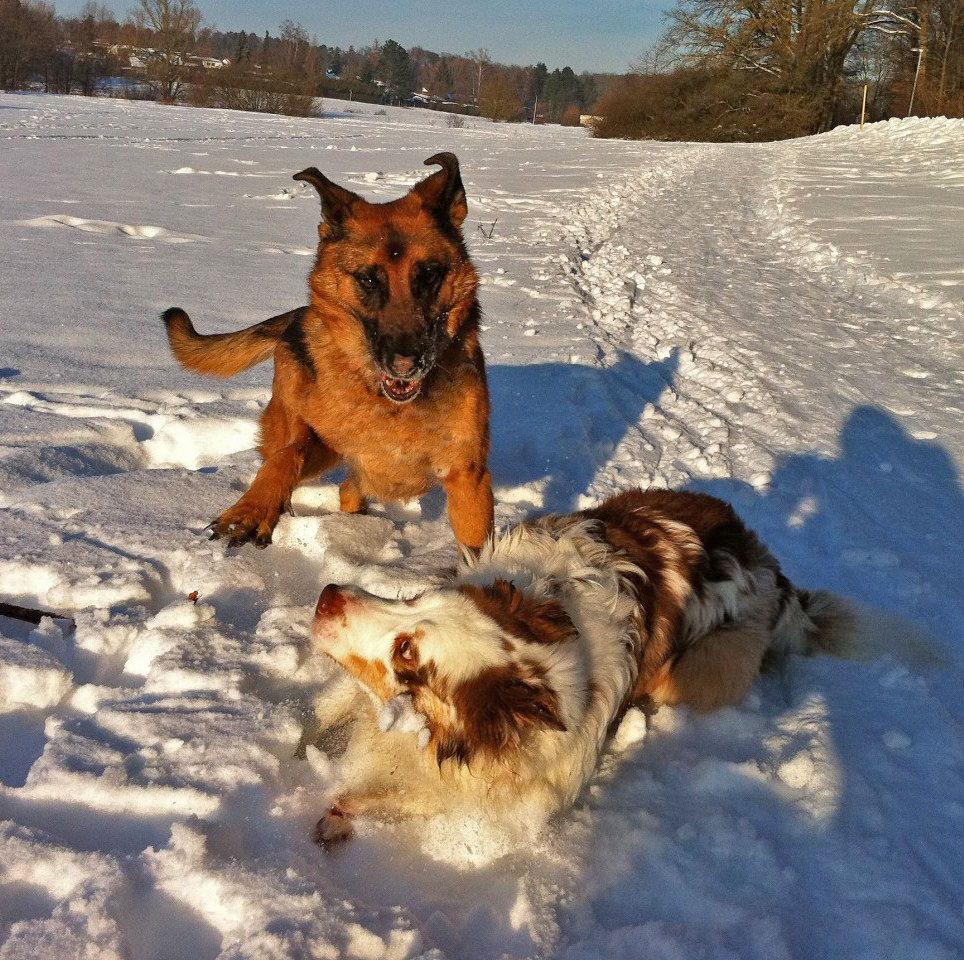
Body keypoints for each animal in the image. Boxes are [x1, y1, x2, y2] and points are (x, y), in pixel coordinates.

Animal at [163, 155, 494, 552]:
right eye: (368, 279)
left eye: (428, 275)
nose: (407, 363)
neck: (391, 409)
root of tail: (298, 315)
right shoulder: (321, 443)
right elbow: (287, 456)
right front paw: (251, 510)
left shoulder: (468, 480)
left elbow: (477, 552)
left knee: (350, 488)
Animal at [308, 492, 852, 844]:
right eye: (417, 598)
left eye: (406, 650)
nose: (327, 595)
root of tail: (775, 573)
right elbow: (325, 711)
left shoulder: (524, 795)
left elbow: (430, 796)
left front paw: (344, 809)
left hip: (709, 667)